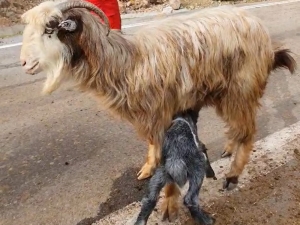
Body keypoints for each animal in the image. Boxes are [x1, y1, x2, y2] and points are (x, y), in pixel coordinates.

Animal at [19, 0, 296, 220]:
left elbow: (169, 164)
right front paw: (147, 168)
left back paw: (232, 176)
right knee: (238, 127)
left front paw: (169, 206)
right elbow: (152, 145)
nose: (24, 63)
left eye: (50, 28)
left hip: (240, 89)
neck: (126, 61)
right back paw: (228, 148)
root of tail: (263, 36)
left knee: (248, 131)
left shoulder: (163, 114)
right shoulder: (151, 115)